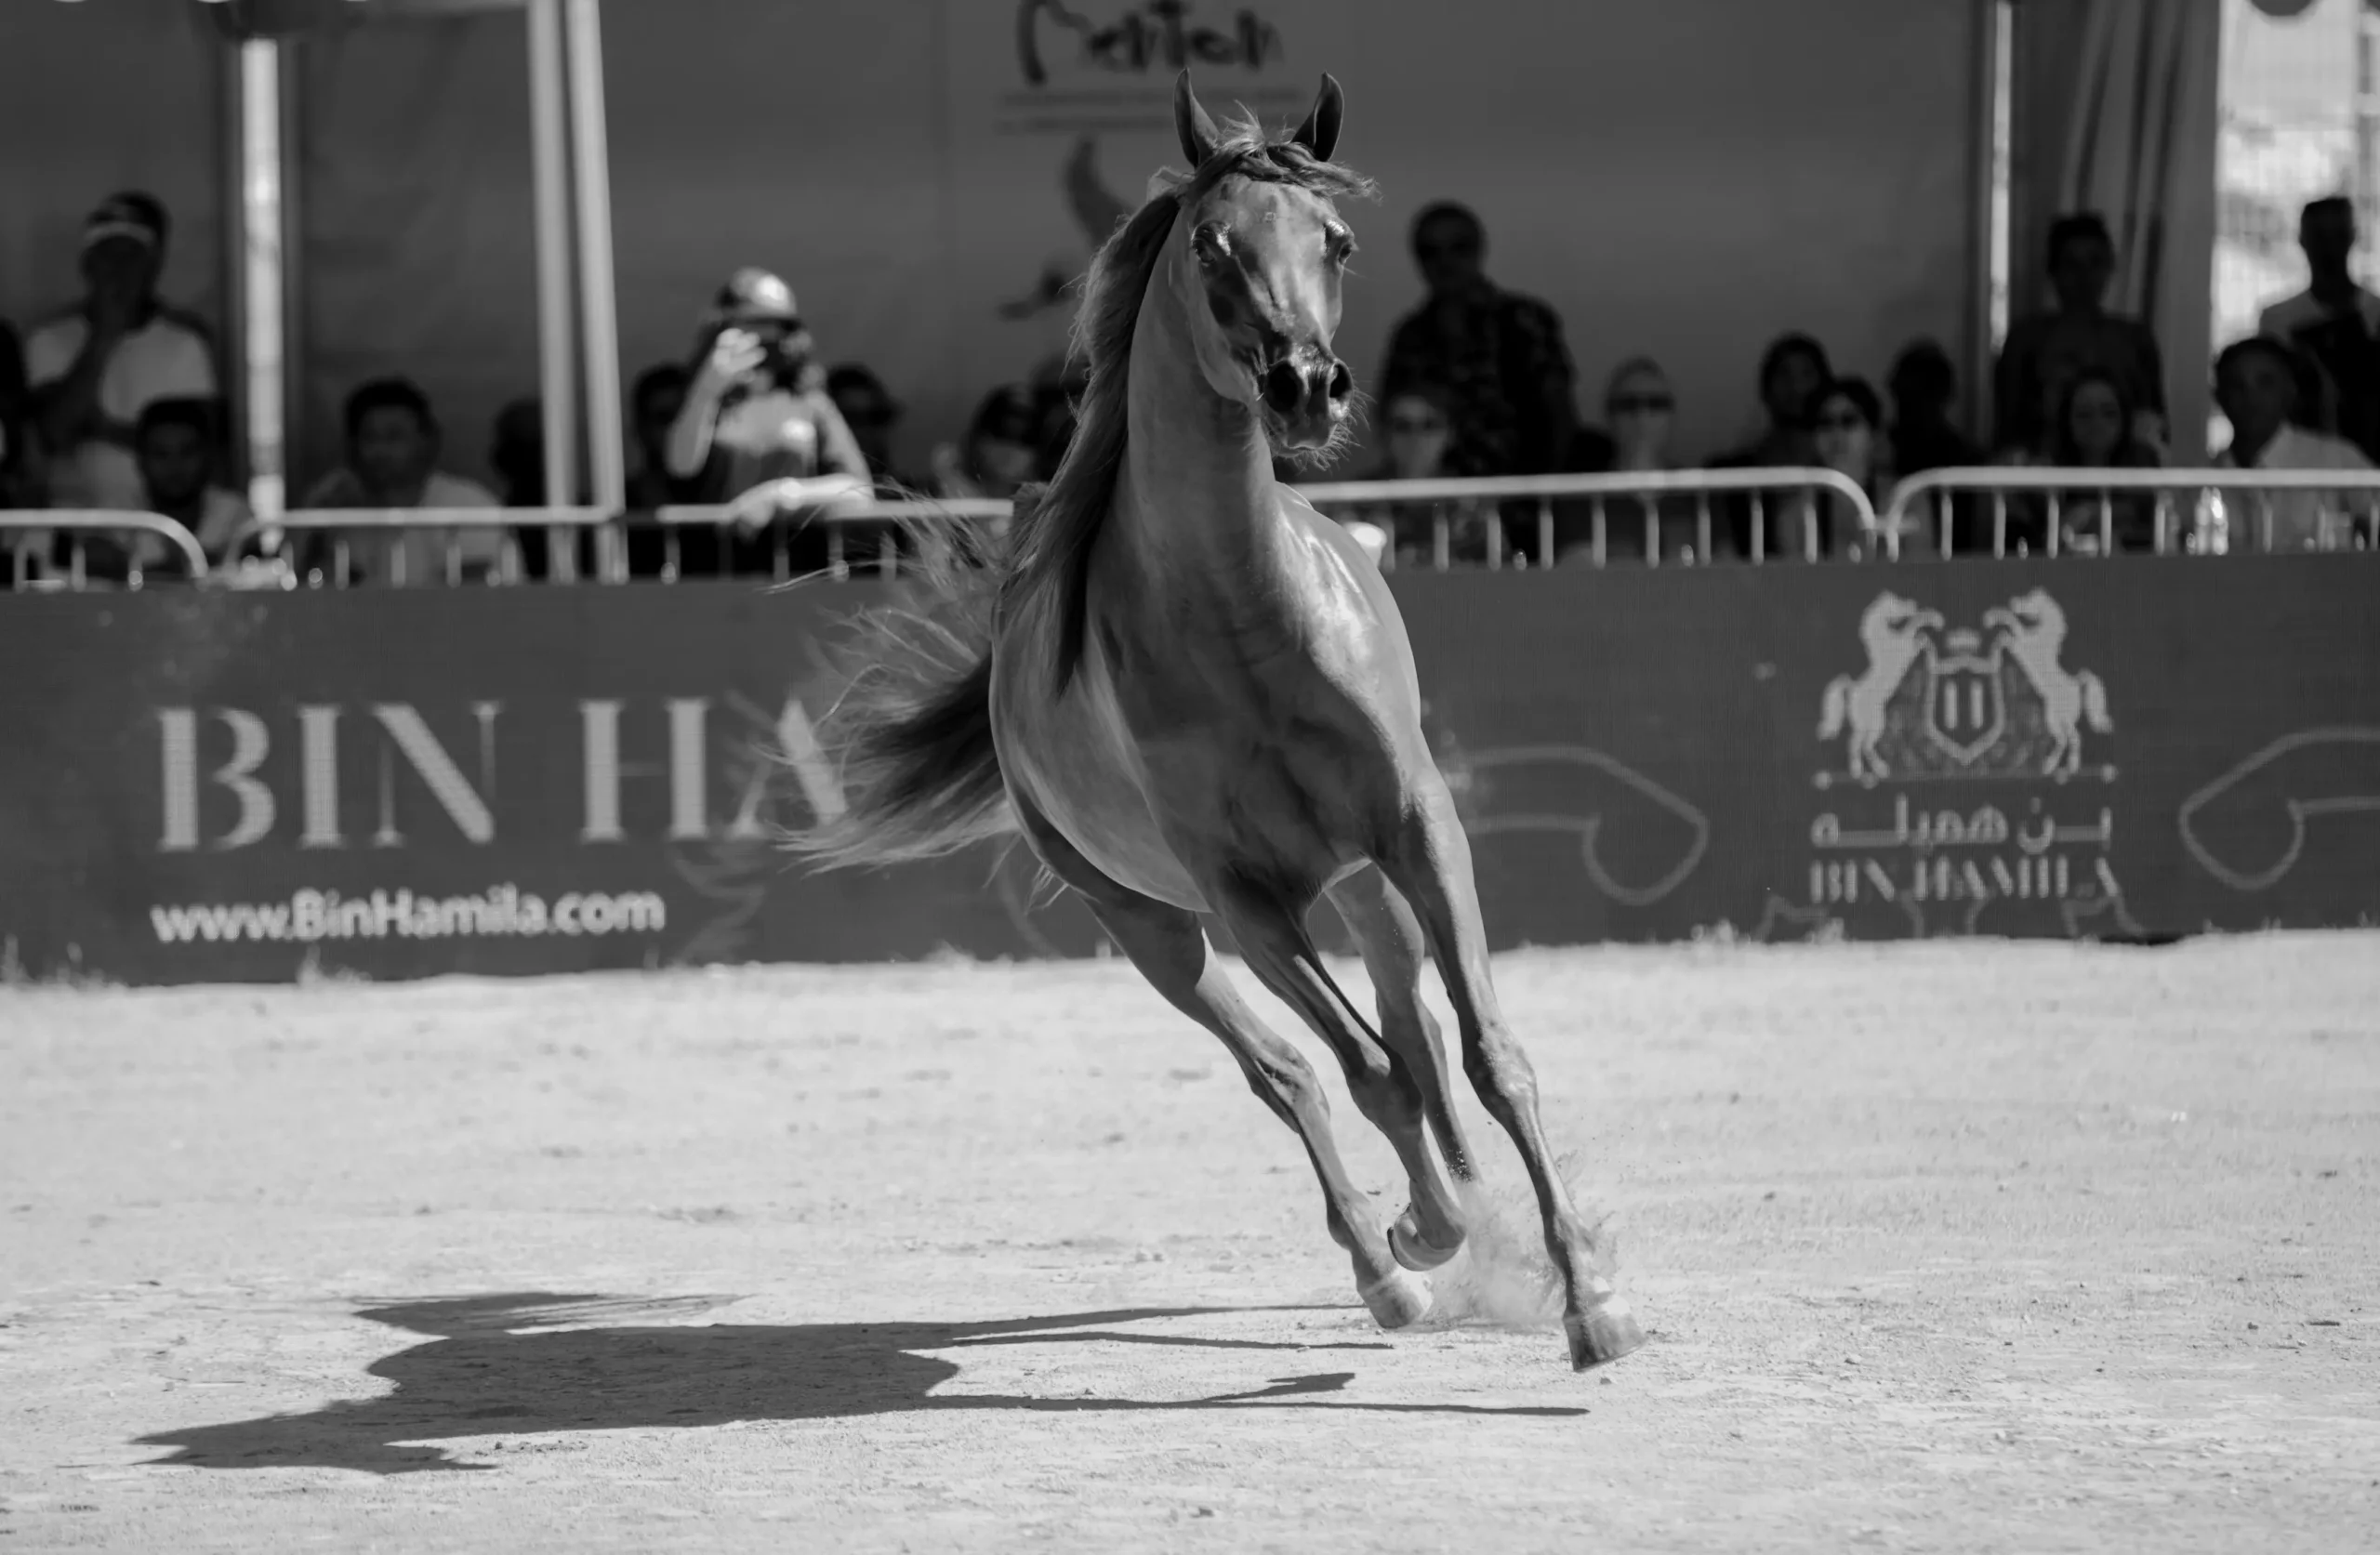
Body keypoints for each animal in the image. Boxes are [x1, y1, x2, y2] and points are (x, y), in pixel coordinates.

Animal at [789, 71, 1645, 1371]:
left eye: (1336, 240)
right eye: (1208, 245)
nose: (1304, 388)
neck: (1245, 620)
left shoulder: (1414, 828)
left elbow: (1486, 1052)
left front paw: (1588, 1297)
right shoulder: (1243, 897)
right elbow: (1363, 1072)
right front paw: (1427, 1238)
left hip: (1361, 883)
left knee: (1412, 1022)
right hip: (1150, 924)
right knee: (1293, 1070)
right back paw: (1393, 1258)